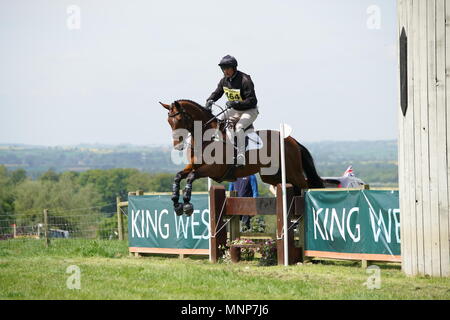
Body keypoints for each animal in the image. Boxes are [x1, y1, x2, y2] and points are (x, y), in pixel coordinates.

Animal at [158, 99, 324, 215]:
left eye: (179, 120)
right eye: (169, 121)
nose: (178, 146)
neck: (205, 138)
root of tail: (292, 140)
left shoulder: (213, 169)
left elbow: (191, 176)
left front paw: (186, 204)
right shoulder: (194, 166)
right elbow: (179, 176)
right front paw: (176, 203)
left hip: (293, 171)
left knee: (304, 186)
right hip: (271, 176)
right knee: (292, 187)